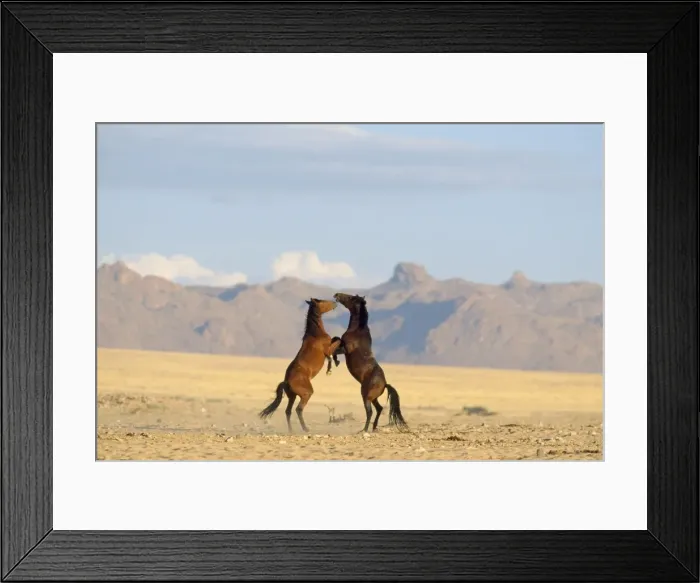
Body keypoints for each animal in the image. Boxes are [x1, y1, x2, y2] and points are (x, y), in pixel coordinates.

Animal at [258, 298, 341, 433]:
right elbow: (337, 340)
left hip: (292, 396)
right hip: (306, 394)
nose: (335, 302)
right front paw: (331, 367)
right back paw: (305, 429)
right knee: (298, 409)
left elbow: (336, 340)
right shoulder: (328, 349)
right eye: (322, 301)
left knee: (288, 411)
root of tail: (286, 381)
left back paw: (291, 430)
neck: (316, 334)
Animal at [327, 293, 409, 433]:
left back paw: (364, 430)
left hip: (366, 397)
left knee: (370, 411)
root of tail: (385, 384)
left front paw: (335, 362)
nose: (336, 294)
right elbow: (335, 339)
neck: (357, 330)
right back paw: (374, 427)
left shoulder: (346, 349)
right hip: (373, 398)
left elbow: (335, 346)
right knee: (379, 409)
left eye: (351, 298)